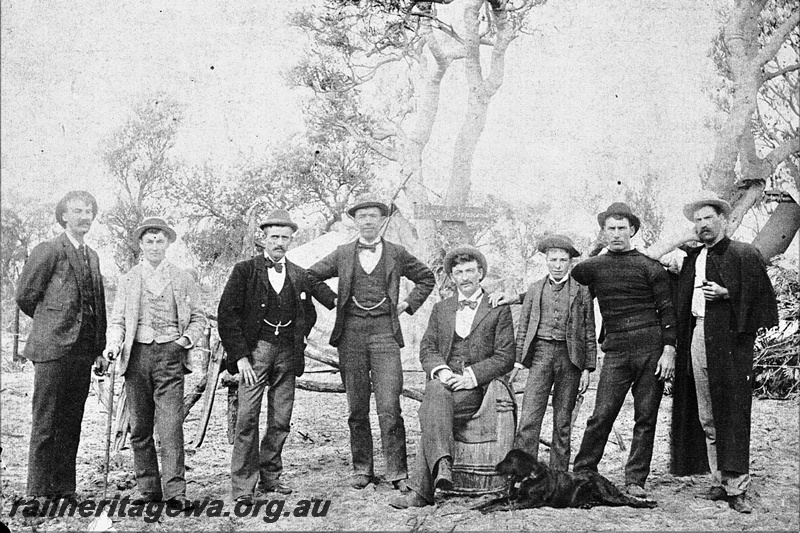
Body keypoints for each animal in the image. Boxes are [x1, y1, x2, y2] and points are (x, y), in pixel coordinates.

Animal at [476, 448, 656, 512]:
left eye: (508, 460)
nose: (495, 467)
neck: (530, 476)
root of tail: (601, 477)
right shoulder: (515, 496)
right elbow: (495, 500)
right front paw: (479, 505)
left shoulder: (528, 501)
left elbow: (503, 506)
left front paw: (488, 509)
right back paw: (587, 504)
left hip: (607, 493)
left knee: (628, 500)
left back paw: (649, 503)